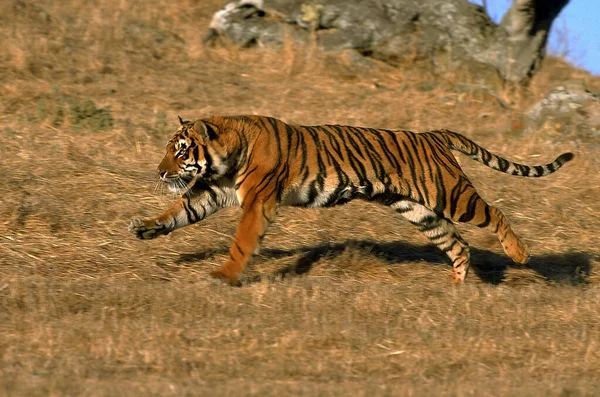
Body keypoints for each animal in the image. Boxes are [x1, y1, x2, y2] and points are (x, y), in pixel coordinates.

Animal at [129, 115, 576, 284]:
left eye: (180, 152)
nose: (160, 172)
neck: (226, 156)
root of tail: (433, 134)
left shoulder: (257, 201)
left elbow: (241, 241)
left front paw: (224, 275)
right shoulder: (214, 192)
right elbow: (179, 210)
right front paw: (145, 228)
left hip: (451, 195)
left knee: (495, 212)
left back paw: (519, 254)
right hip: (419, 211)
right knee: (458, 244)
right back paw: (457, 288)